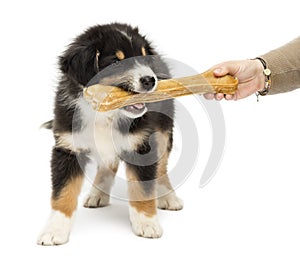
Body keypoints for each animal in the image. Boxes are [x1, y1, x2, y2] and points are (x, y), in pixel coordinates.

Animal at [37, 24, 183, 246]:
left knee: (161, 168)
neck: (105, 113)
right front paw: (54, 230)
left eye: (144, 58)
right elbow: (63, 192)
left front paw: (147, 223)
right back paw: (98, 193)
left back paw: (168, 197)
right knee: (108, 164)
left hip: (163, 131)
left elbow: (142, 189)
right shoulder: (68, 148)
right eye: (116, 61)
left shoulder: (142, 145)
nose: (150, 80)